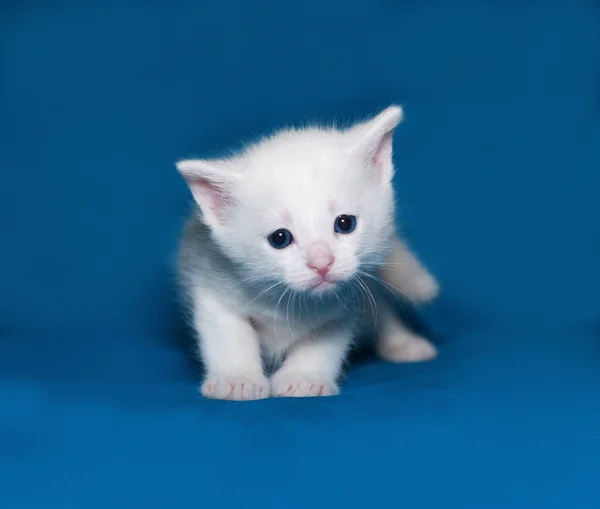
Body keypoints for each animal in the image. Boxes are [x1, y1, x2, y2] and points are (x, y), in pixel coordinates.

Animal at [176, 107, 438, 398]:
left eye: (345, 223)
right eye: (280, 238)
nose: (321, 263)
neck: (290, 303)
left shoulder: (348, 302)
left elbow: (324, 342)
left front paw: (304, 378)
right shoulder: (211, 282)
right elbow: (229, 334)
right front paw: (237, 378)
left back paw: (403, 343)